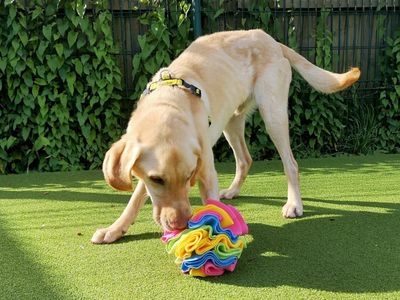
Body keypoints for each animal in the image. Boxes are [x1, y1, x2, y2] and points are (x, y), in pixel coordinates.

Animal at [90, 29, 360, 244]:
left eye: (189, 176)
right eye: (156, 180)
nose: (180, 224)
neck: (168, 104)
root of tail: (269, 38)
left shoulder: (206, 168)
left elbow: (209, 204)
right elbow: (135, 199)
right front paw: (115, 229)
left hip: (273, 114)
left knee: (290, 163)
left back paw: (294, 204)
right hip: (231, 121)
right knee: (245, 159)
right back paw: (232, 191)